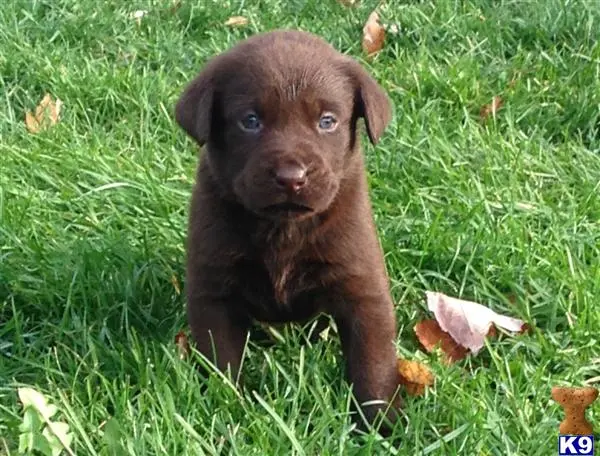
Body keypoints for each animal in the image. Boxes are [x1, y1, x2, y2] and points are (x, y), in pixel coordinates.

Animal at [176, 30, 400, 432]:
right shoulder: (213, 290)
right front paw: (226, 412)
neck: (283, 229)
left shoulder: (362, 289)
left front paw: (380, 426)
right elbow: (221, 360)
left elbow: (373, 364)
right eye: (250, 121)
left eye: (327, 121)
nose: (291, 178)